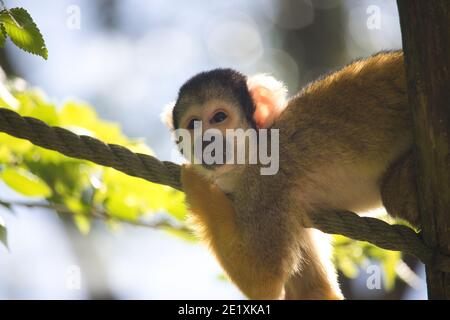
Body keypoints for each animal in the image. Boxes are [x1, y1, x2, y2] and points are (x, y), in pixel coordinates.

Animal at [163, 52, 420, 300]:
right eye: (193, 124)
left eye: (219, 117)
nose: (206, 141)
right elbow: (314, 292)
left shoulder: (268, 180)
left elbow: (263, 278)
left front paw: (195, 183)